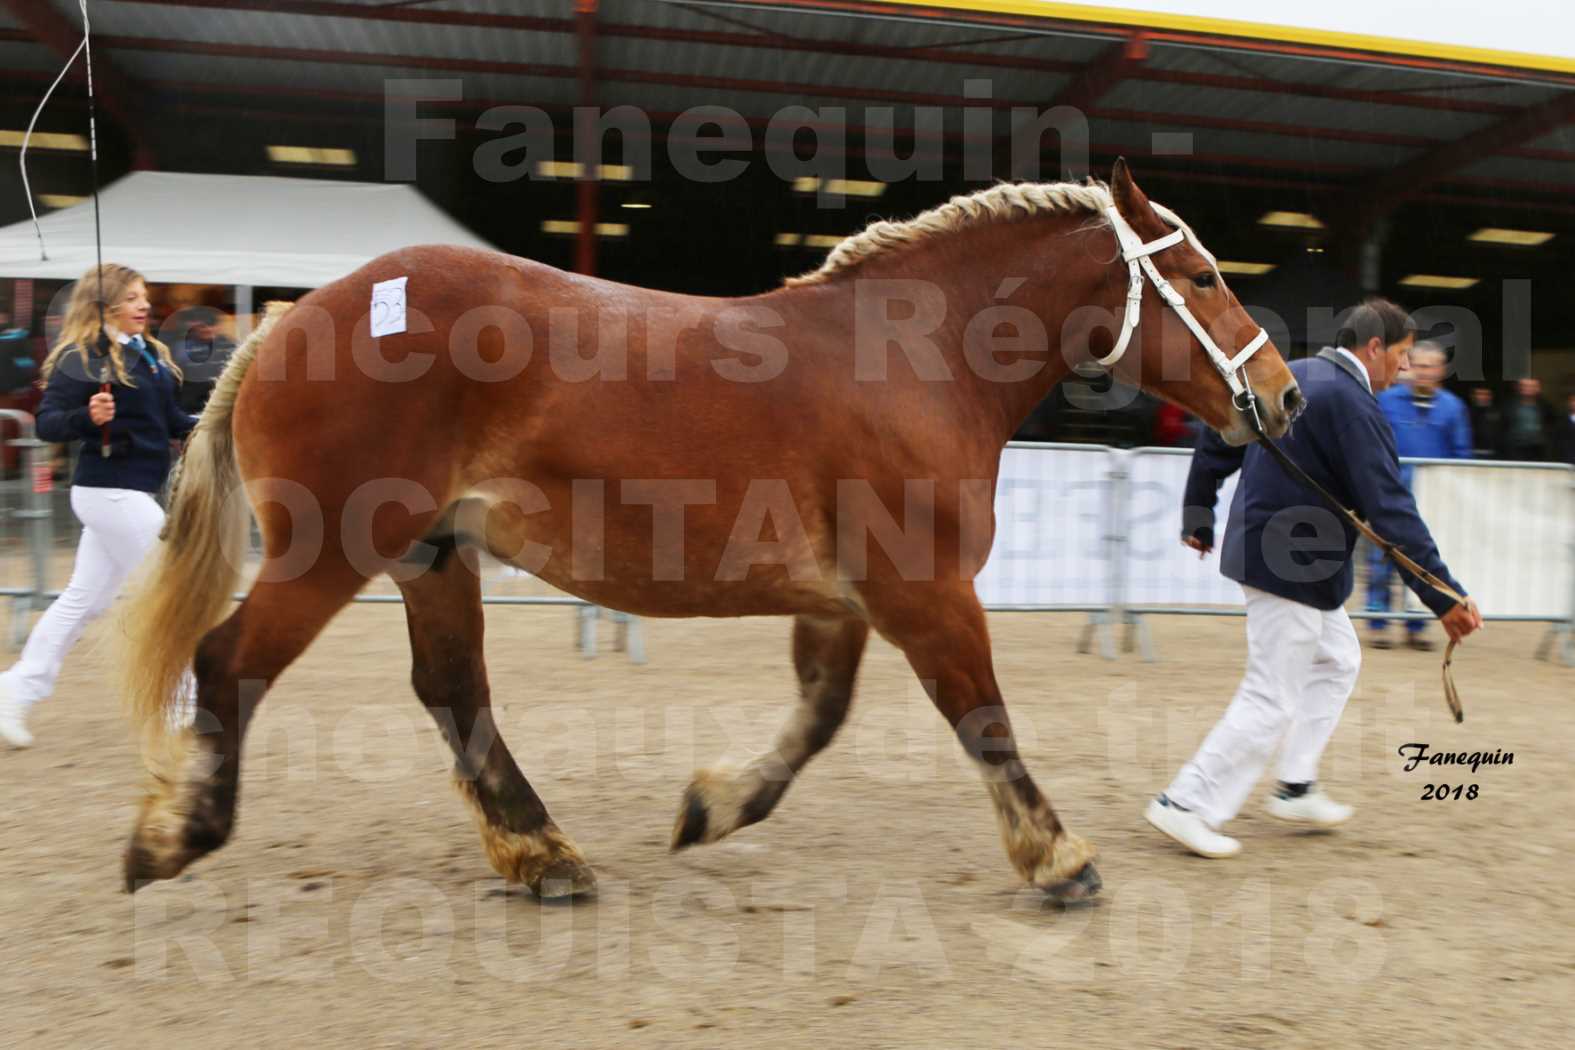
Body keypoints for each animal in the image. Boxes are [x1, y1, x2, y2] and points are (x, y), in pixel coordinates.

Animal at [122, 162, 1297, 906]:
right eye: (1201, 276)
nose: (1283, 398)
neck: (913, 362)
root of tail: (289, 319)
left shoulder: (846, 602)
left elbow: (818, 722)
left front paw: (712, 808)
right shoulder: (926, 593)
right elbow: (985, 722)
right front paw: (1058, 859)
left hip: (432, 558)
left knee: (454, 694)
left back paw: (544, 853)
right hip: (330, 551)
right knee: (230, 661)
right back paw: (172, 836)